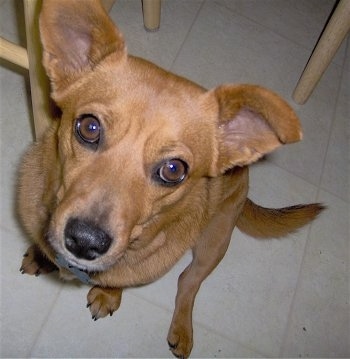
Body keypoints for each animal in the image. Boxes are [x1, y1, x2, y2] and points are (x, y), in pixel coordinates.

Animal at [18, 1, 326, 358]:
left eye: (173, 170)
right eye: (89, 127)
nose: (84, 240)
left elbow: (124, 281)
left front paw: (109, 294)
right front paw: (41, 254)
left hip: (214, 242)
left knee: (188, 282)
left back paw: (182, 329)